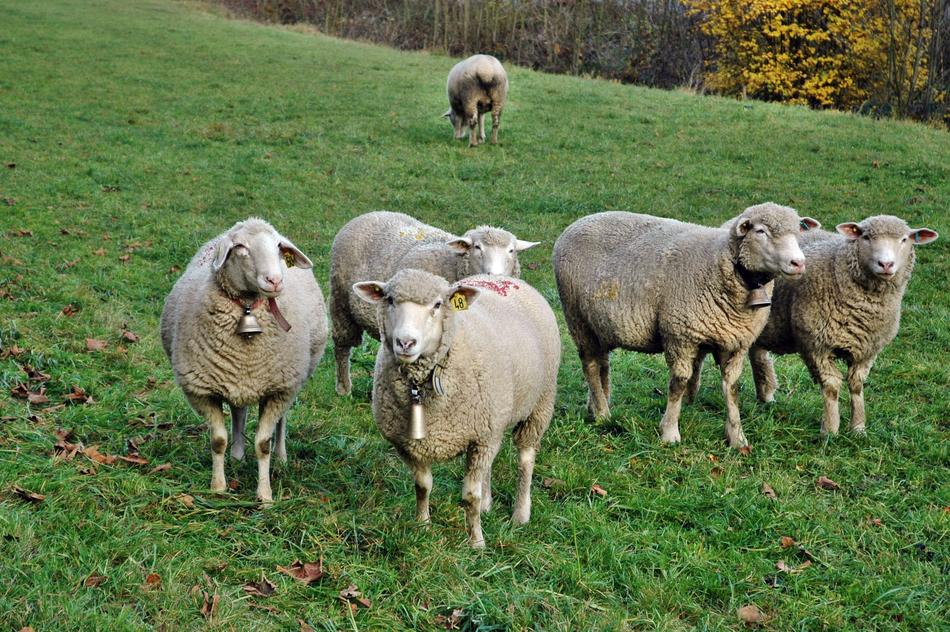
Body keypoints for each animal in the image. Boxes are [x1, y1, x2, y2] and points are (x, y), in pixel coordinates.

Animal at [160, 218, 328, 503]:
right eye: (240, 247)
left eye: (278, 246)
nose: (275, 280)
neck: (248, 308)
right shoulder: (202, 390)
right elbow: (218, 440)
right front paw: (218, 487)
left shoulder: (279, 389)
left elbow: (263, 444)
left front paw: (265, 495)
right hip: (235, 377)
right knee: (239, 411)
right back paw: (237, 457)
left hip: (290, 381)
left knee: (281, 421)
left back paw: (281, 458)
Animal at [329, 210, 538, 396]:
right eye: (478, 248)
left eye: (511, 251)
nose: (494, 275)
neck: (453, 265)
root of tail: (367, 215)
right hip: (340, 302)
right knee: (342, 346)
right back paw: (343, 389)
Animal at [353, 269, 560, 548]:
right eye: (390, 300)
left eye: (438, 305)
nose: (405, 342)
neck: (420, 382)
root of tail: (500, 277)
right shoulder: (411, 443)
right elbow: (423, 486)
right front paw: (423, 526)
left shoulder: (482, 437)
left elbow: (469, 496)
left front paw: (476, 542)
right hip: (493, 421)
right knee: (488, 467)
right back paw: (487, 505)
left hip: (539, 404)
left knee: (525, 458)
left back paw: (521, 514)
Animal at [553, 203, 819, 449]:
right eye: (761, 231)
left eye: (797, 231)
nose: (798, 263)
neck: (723, 263)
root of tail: (576, 223)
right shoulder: (679, 335)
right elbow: (679, 383)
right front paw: (669, 432)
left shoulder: (737, 342)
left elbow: (731, 388)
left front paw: (737, 437)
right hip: (576, 317)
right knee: (590, 364)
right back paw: (602, 414)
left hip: (599, 324)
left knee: (602, 364)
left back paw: (596, 405)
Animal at [749, 215, 938, 435]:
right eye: (866, 237)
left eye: (904, 239)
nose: (886, 264)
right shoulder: (816, 345)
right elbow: (831, 386)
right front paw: (830, 430)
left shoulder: (868, 349)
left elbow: (856, 385)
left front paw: (858, 428)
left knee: (757, 354)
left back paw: (766, 398)